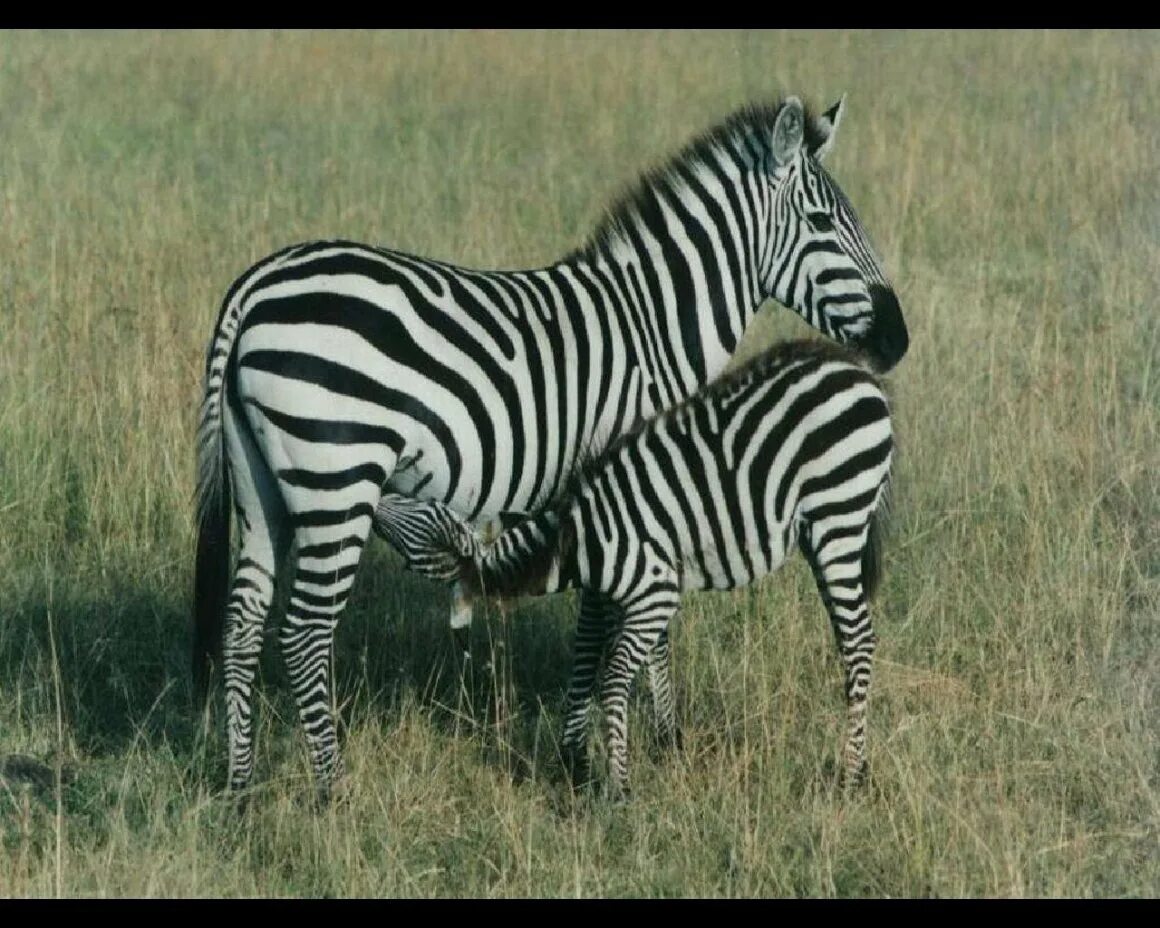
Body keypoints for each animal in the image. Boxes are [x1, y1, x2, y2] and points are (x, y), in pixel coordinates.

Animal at [194, 93, 909, 798]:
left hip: (262, 485)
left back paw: (240, 787)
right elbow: (609, 624)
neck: (650, 323)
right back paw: (333, 792)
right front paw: (623, 750)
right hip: (336, 476)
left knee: (243, 626)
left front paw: (592, 751)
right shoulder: (633, 484)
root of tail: (256, 286)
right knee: (303, 634)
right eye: (822, 221)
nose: (897, 339)